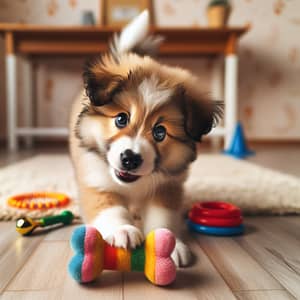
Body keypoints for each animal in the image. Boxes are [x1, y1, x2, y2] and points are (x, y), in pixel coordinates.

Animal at [69, 10, 221, 266]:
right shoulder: (95, 180)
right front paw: (123, 230)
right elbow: (110, 209)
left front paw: (167, 244)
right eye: (121, 119)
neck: (132, 184)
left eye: (160, 132)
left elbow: (162, 217)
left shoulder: (167, 187)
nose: (130, 159)